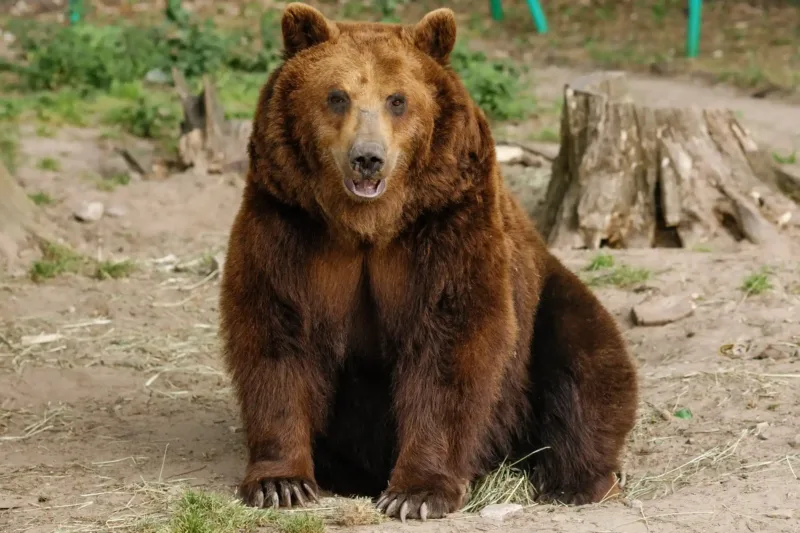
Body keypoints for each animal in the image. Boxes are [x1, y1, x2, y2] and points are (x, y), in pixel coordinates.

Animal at [219, 2, 638, 522]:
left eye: (397, 100)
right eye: (337, 96)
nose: (368, 158)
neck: (368, 226)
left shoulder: (446, 221)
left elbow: (450, 344)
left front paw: (415, 493)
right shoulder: (288, 220)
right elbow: (276, 331)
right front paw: (281, 483)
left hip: (549, 299)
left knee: (587, 364)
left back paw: (574, 481)